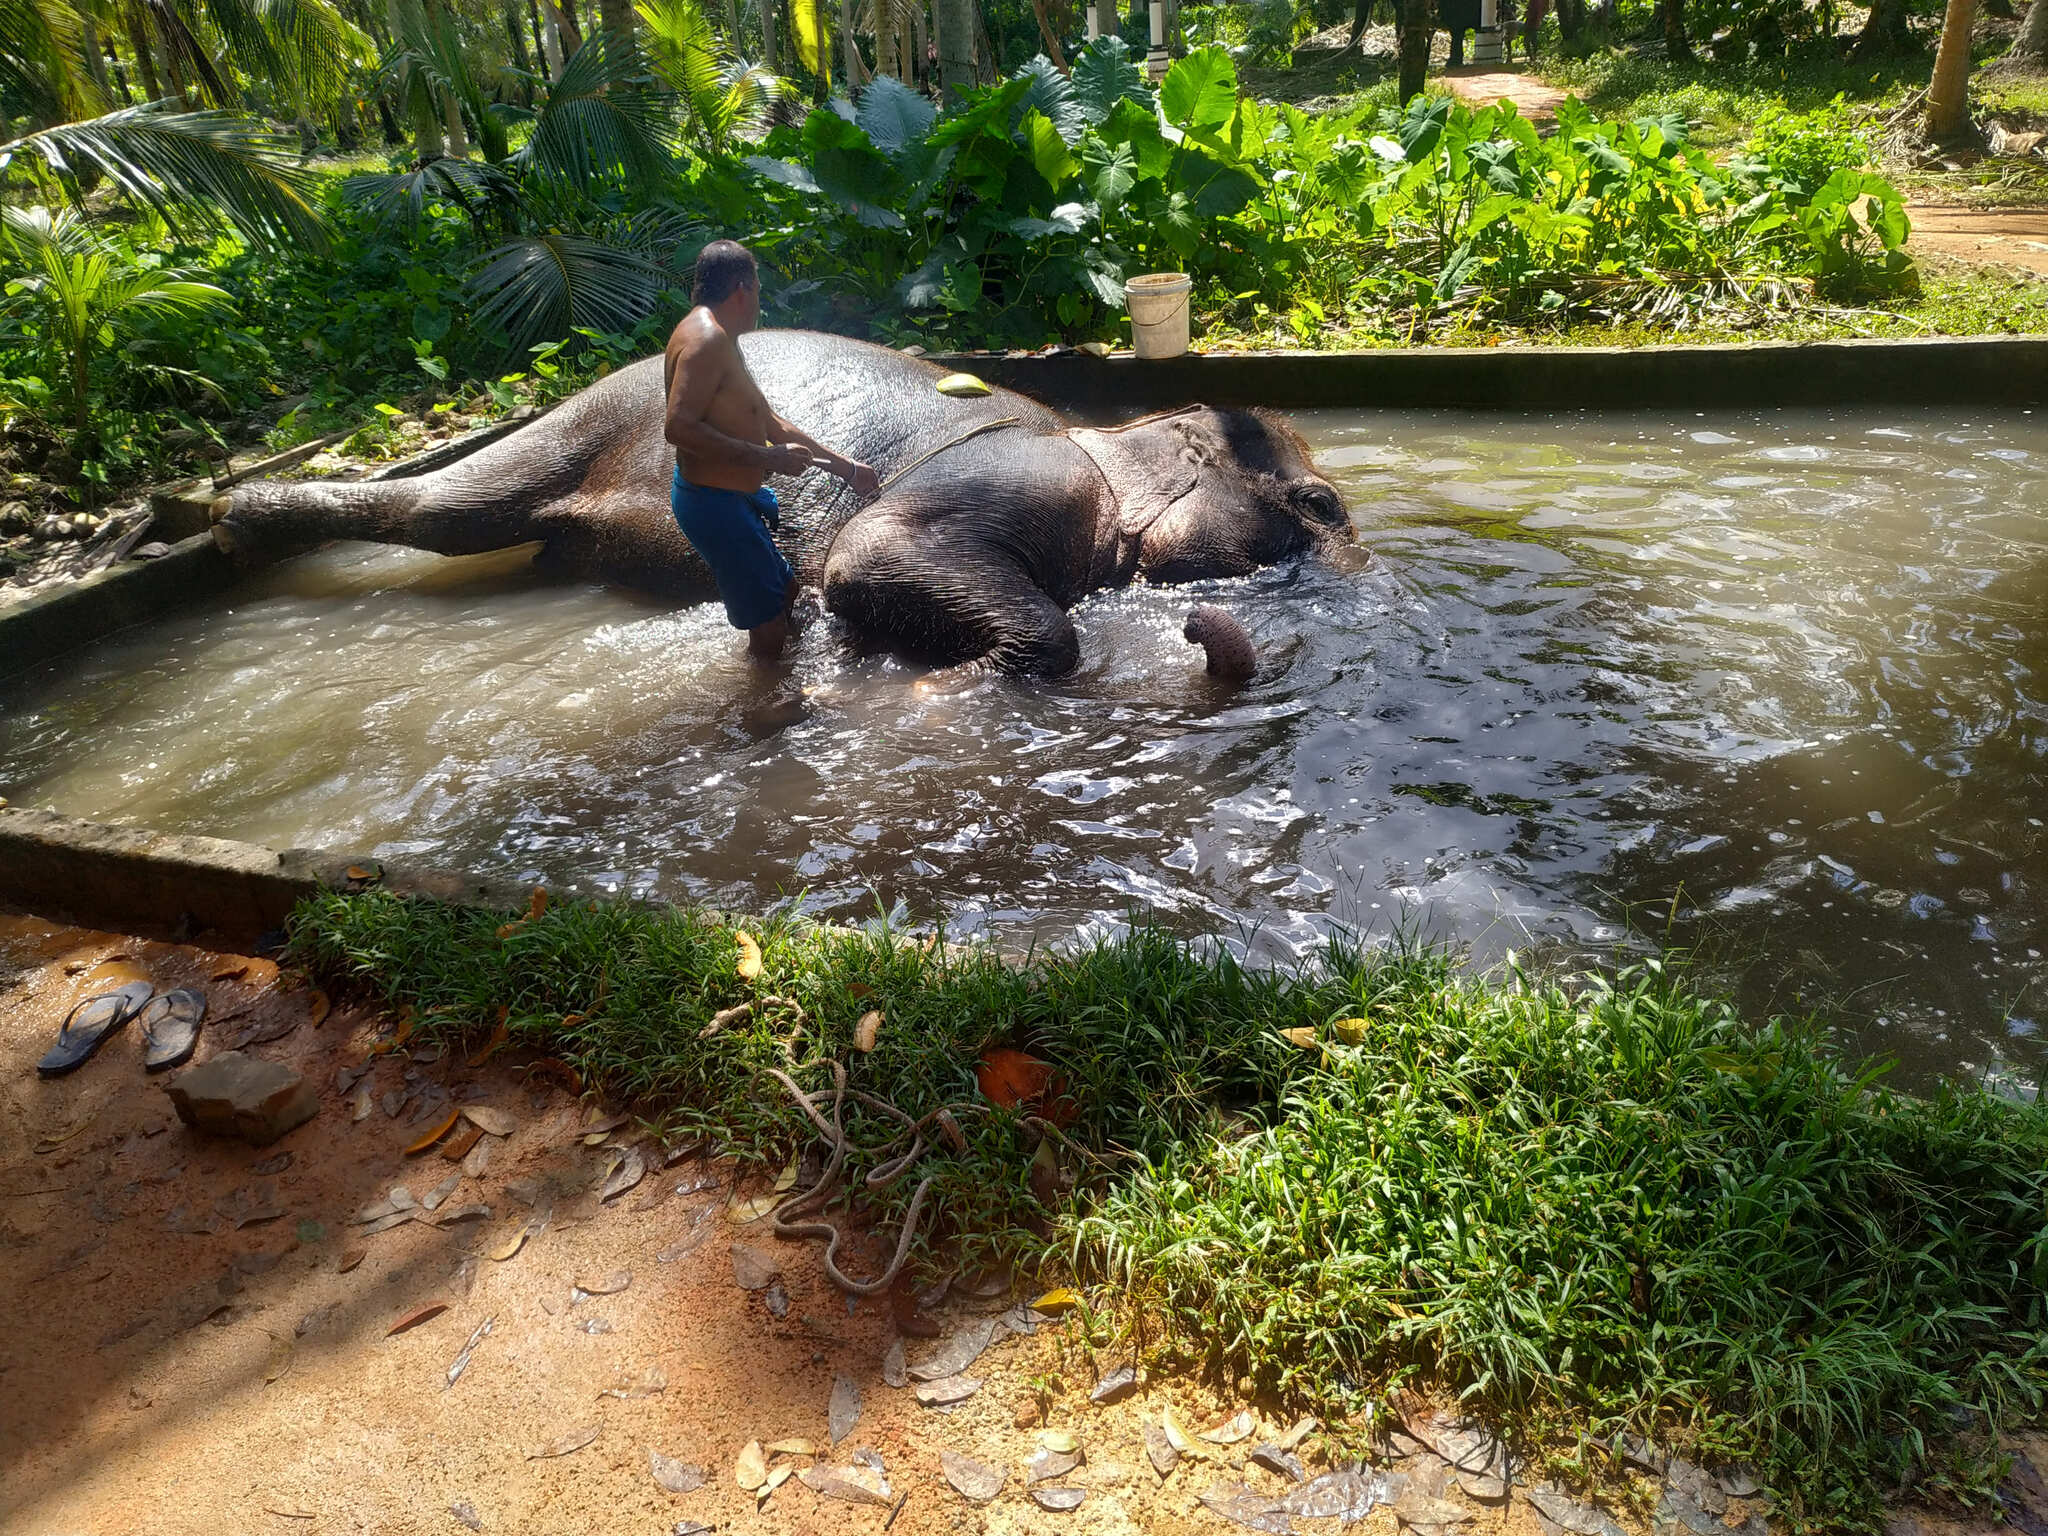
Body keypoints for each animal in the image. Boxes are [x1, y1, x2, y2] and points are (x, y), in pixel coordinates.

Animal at [216, 331, 1351, 679]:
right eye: (1322, 504)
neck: (1102, 444)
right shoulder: (1008, 476)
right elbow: (872, 551)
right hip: (589, 413)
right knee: (444, 512)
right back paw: (230, 520)